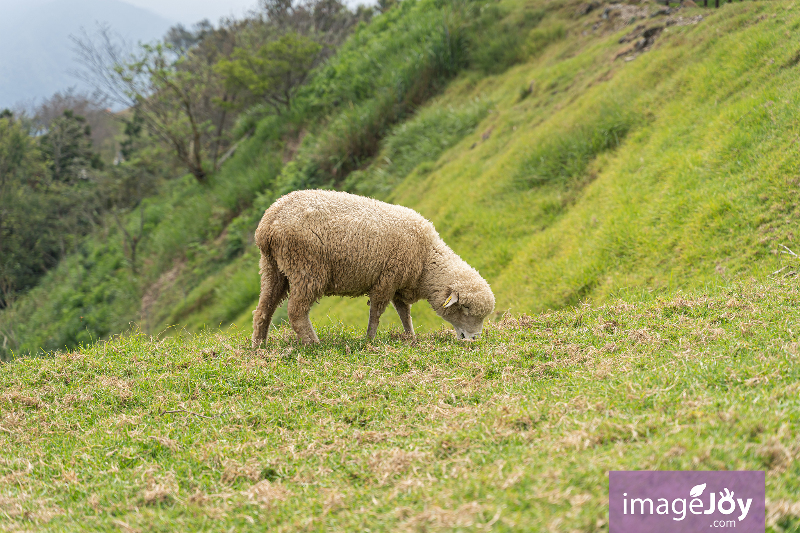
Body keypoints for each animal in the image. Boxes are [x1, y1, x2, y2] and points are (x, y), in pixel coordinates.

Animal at [253, 189, 496, 348]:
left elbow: (404, 313)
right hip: (306, 268)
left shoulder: (398, 283)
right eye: (465, 308)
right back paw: (313, 344)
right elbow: (377, 313)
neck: (426, 260)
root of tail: (268, 225)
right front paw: (369, 340)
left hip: (273, 268)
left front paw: (411, 337)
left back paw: (259, 346)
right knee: (296, 311)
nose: (475, 339)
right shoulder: (387, 279)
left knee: (264, 309)